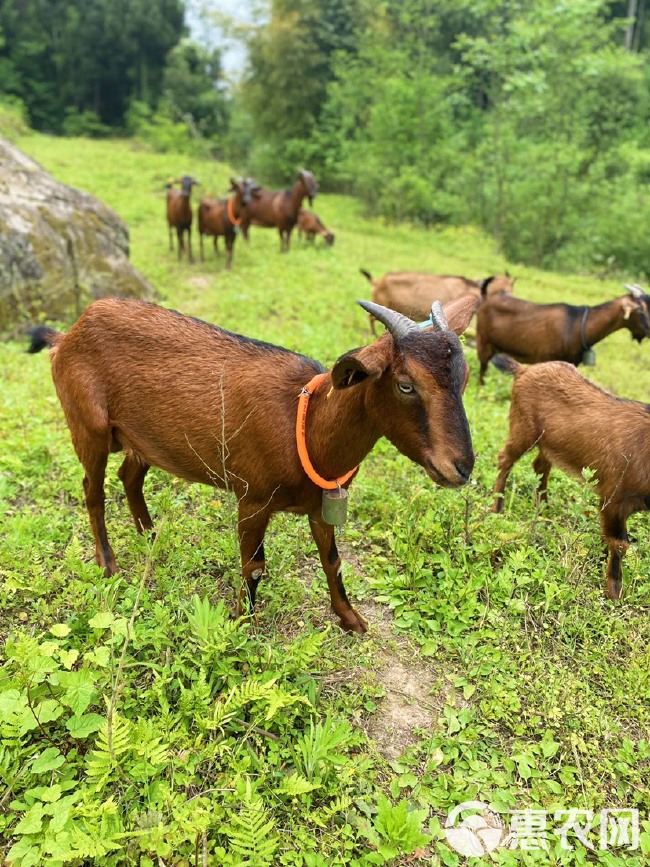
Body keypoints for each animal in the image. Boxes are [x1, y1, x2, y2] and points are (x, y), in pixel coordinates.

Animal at [27, 294, 476, 636]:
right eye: (406, 384)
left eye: (465, 378)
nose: (463, 467)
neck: (306, 425)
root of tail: (68, 334)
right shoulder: (253, 498)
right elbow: (254, 565)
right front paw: (242, 625)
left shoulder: (322, 503)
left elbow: (332, 560)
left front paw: (351, 620)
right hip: (88, 427)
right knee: (93, 489)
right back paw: (109, 563)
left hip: (142, 439)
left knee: (129, 476)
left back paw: (150, 536)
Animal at [470, 284, 648, 384]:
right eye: (641, 309)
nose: (649, 330)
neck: (577, 325)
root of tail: (486, 299)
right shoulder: (545, 358)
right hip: (484, 341)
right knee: (482, 369)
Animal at [492, 356, 648, 600]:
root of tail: (524, 369)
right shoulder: (614, 497)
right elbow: (619, 543)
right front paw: (614, 591)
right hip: (522, 428)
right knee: (505, 459)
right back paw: (496, 507)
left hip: (547, 443)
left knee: (540, 467)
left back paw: (544, 509)